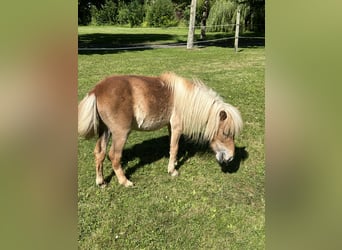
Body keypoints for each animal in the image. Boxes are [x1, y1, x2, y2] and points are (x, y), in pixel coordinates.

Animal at [78, 72, 242, 188]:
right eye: (226, 133)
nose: (230, 158)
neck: (184, 99)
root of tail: (97, 90)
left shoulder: (171, 126)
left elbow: (172, 147)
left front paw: (174, 163)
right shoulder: (177, 127)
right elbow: (174, 147)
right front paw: (172, 170)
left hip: (105, 131)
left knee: (99, 153)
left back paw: (101, 182)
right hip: (120, 134)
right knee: (114, 156)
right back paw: (125, 181)